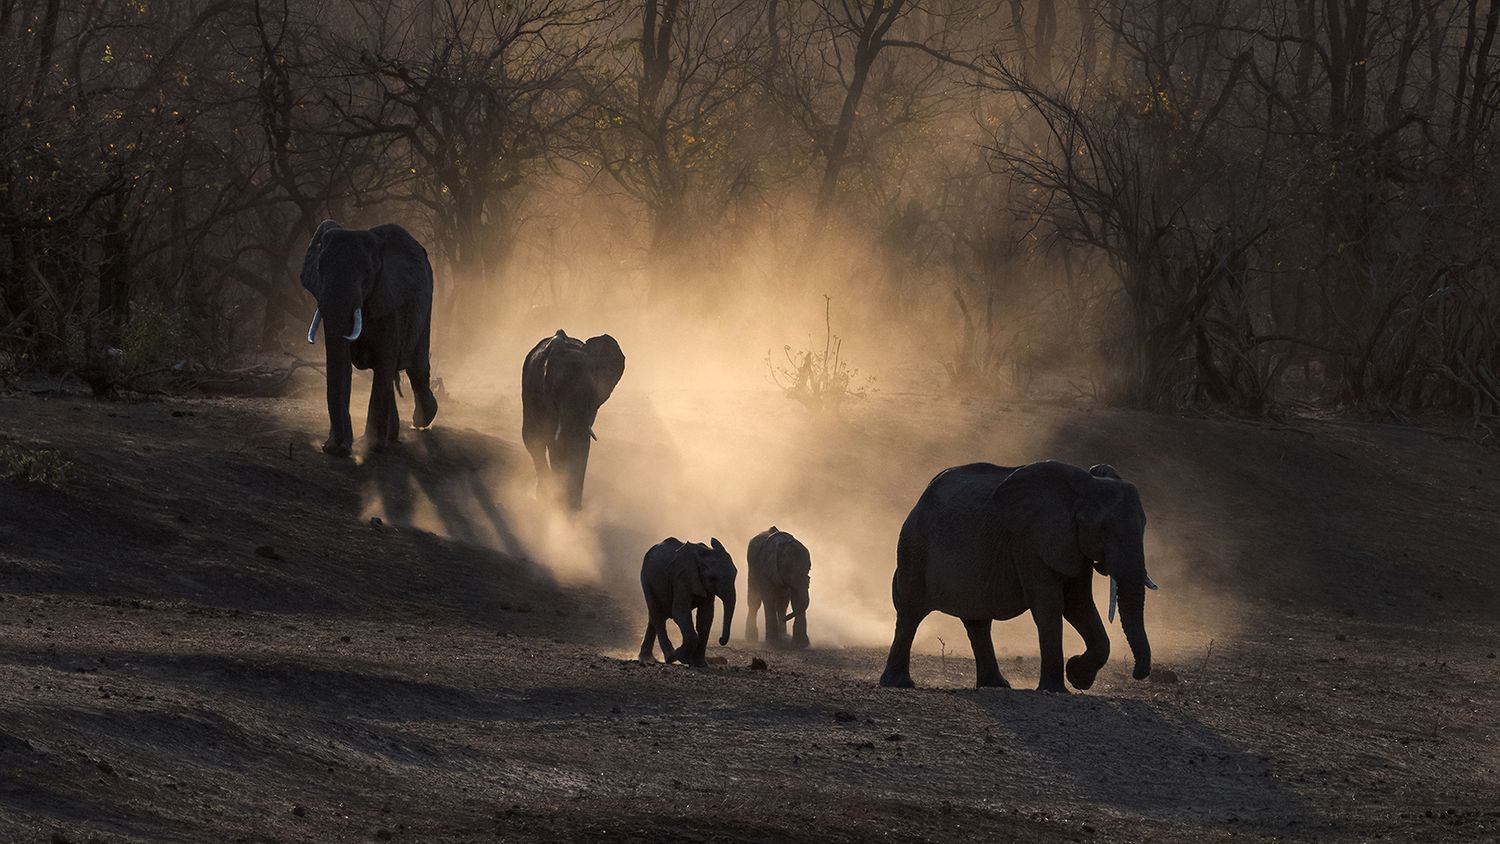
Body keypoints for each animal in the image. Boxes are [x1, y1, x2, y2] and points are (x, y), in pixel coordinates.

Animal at [300, 220, 438, 457]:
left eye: (367, 273)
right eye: (319, 270)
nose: (333, 447)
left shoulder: (389, 300)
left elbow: (384, 361)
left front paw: (372, 446)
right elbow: (344, 362)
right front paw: (337, 448)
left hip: (426, 301)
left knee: (416, 366)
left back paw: (421, 420)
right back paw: (394, 434)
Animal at [521, 330, 625, 509]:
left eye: (592, 394)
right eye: (555, 392)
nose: (576, 507)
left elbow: (582, 443)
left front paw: (573, 509)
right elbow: (555, 443)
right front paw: (560, 505)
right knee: (533, 439)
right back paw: (543, 495)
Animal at [638, 537, 737, 667]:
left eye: (735, 574)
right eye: (713, 578)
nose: (720, 640)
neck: (704, 554)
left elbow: (706, 617)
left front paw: (700, 664)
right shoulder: (681, 578)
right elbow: (679, 611)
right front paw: (682, 657)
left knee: (654, 616)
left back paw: (648, 658)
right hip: (646, 578)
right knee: (657, 614)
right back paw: (670, 657)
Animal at [879, 460, 1159, 692]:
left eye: (1145, 525)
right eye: (1103, 528)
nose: (1138, 674)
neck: (1082, 487)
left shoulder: (1072, 543)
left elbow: (1078, 605)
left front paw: (1077, 675)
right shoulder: (1030, 540)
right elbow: (1050, 605)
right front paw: (1056, 689)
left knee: (978, 622)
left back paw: (997, 685)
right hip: (914, 545)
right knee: (911, 612)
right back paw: (899, 684)